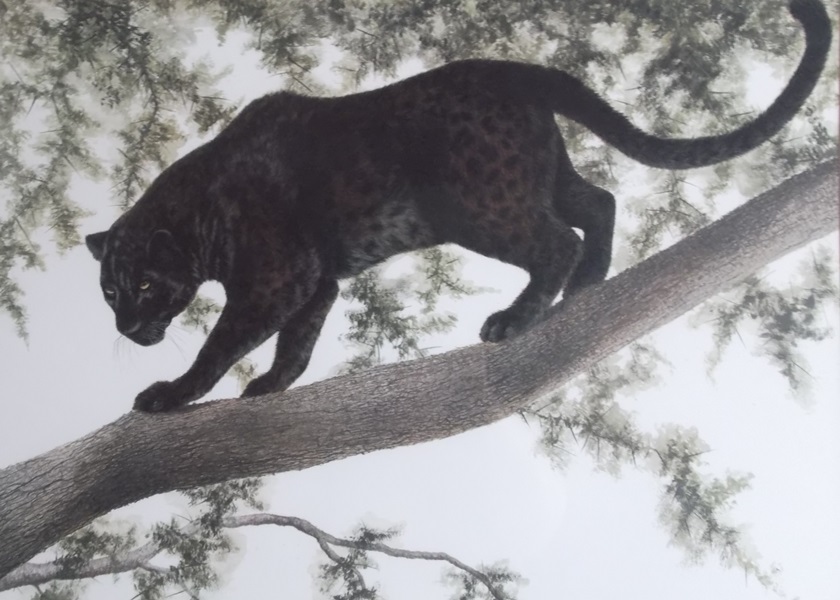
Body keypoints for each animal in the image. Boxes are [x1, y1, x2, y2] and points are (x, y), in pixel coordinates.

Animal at [86, 0, 831, 412]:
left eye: (144, 285)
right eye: (110, 293)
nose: (126, 328)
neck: (198, 214)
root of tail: (520, 71)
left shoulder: (276, 278)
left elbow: (221, 343)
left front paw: (169, 395)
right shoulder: (315, 281)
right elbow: (297, 342)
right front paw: (271, 387)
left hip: (483, 206)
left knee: (558, 240)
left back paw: (515, 320)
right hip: (536, 177)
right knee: (599, 202)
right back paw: (586, 289)